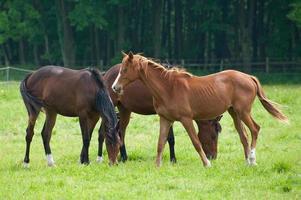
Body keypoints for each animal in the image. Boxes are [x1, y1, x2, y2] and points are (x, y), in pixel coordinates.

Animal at [111, 52, 288, 167]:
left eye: (125, 70)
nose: (115, 87)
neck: (169, 87)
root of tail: (249, 77)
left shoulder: (186, 119)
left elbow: (196, 142)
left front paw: (207, 163)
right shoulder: (165, 119)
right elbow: (161, 142)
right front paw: (157, 165)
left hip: (243, 112)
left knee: (255, 129)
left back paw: (252, 160)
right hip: (234, 113)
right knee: (243, 135)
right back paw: (247, 162)